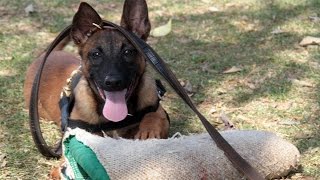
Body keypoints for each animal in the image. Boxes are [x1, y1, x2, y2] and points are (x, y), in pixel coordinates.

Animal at [23, 0, 170, 141]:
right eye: (96, 54)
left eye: (128, 52)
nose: (113, 82)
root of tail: (44, 55)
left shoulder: (158, 111)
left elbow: (153, 117)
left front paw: (149, 131)